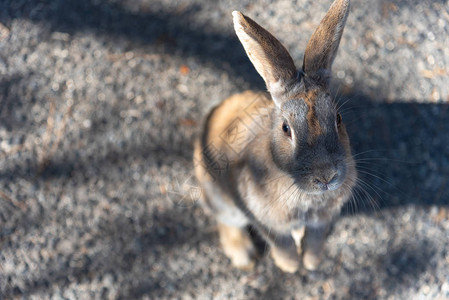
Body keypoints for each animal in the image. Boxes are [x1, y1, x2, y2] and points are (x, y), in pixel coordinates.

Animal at [192, 0, 356, 274]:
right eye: (286, 128)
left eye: (338, 118)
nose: (326, 177)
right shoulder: (263, 218)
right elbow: (281, 243)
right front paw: (290, 266)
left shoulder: (320, 222)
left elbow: (314, 241)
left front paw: (311, 263)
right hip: (218, 196)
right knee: (226, 222)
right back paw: (244, 257)